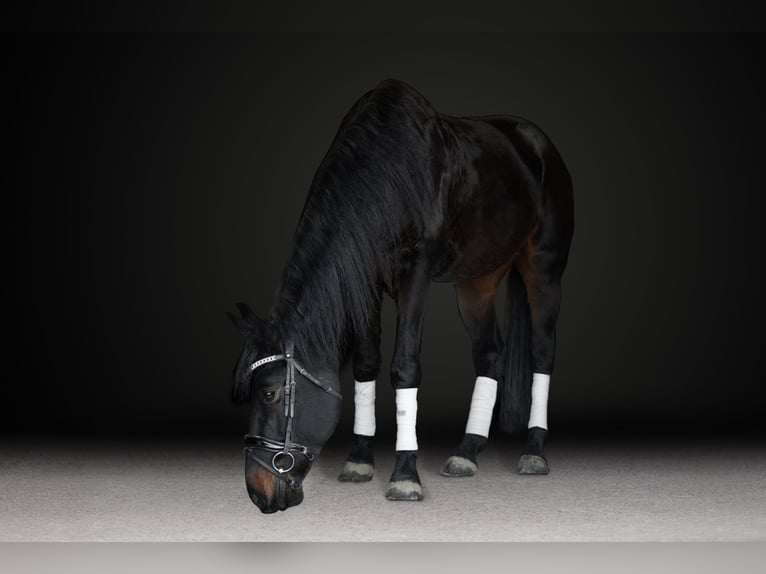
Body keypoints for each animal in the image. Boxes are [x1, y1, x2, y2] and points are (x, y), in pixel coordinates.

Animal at [227, 79, 573, 513]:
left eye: (270, 393)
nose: (258, 492)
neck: (386, 170)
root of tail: (537, 141)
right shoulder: (365, 280)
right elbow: (365, 366)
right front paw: (359, 461)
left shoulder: (415, 273)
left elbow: (404, 367)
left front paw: (405, 475)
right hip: (477, 281)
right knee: (489, 354)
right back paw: (467, 452)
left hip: (544, 271)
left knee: (542, 352)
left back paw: (534, 451)